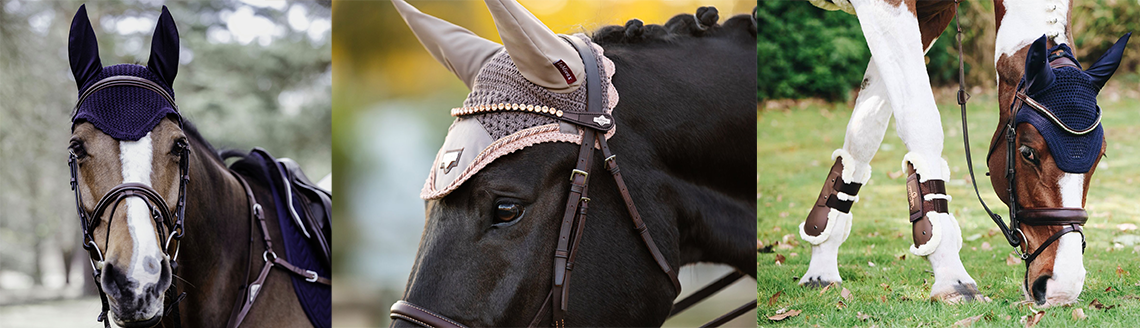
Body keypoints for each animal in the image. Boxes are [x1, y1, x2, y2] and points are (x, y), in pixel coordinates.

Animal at [802, 0, 1130, 307]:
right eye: (1028, 152)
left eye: (1099, 157)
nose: (1061, 285)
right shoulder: (885, 6)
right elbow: (919, 120)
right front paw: (951, 278)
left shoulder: (931, 16)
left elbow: (865, 131)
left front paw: (822, 264)